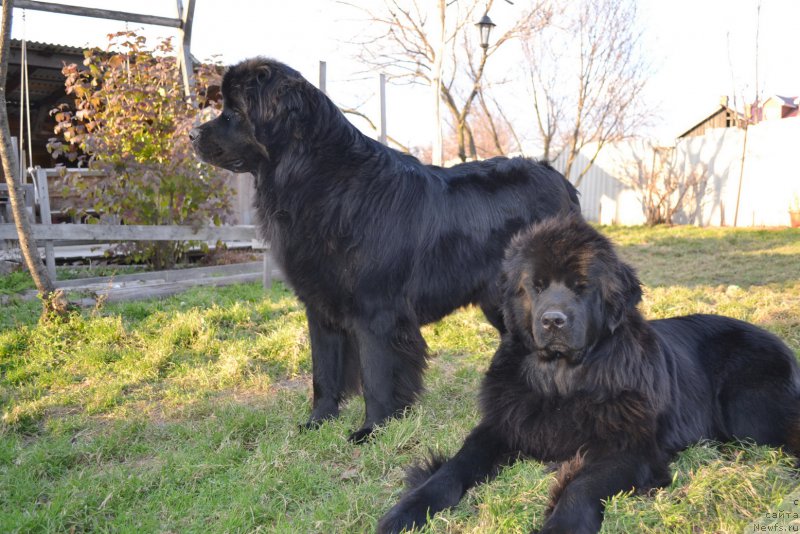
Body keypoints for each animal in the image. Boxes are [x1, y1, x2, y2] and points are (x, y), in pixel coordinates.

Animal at [192, 57, 580, 444]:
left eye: (234, 112)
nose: (193, 134)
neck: (319, 180)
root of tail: (560, 179)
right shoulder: (319, 306)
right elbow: (324, 372)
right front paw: (318, 421)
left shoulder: (377, 311)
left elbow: (376, 375)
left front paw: (371, 429)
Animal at [380, 216, 800, 532]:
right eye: (535, 287)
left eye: (581, 287)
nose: (553, 320)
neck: (561, 383)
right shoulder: (501, 426)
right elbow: (454, 468)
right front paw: (406, 511)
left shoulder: (628, 446)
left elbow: (580, 486)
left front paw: (561, 526)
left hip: (749, 409)